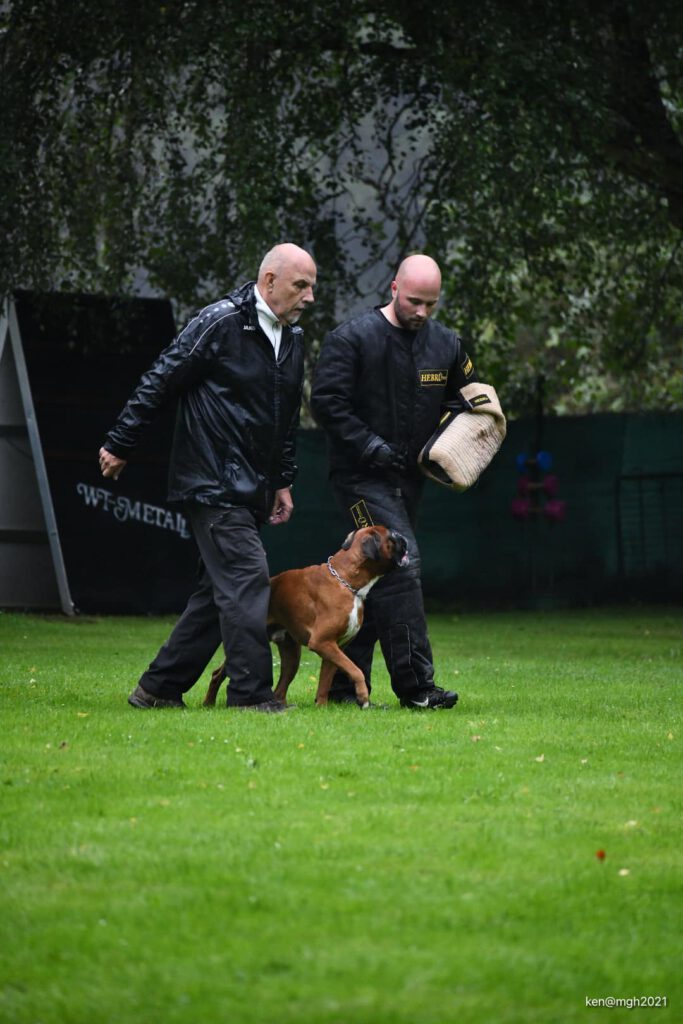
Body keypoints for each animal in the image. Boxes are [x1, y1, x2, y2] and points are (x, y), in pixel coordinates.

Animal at [201, 524, 405, 708]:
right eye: (392, 536)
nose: (404, 537)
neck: (346, 581)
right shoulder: (322, 642)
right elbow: (356, 670)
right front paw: (362, 697)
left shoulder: (333, 647)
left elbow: (325, 681)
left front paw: (321, 708)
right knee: (217, 674)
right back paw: (208, 703)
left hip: (292, 657)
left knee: (279, 690)